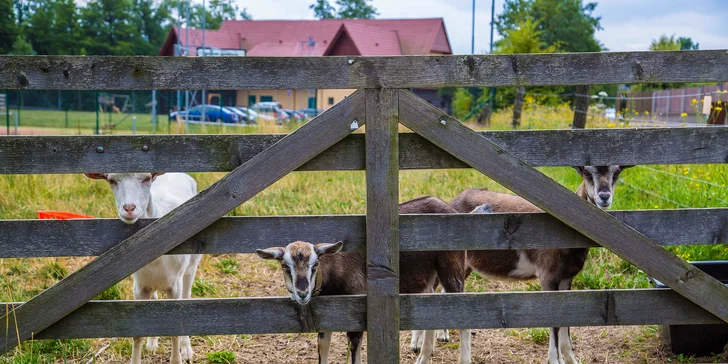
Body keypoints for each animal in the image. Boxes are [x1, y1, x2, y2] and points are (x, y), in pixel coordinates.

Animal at [85, 172, 202, 364]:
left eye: (146, 178)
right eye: (112, 181)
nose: (129, 208)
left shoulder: (174, 286)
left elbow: (175, 329)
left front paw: (177, 358)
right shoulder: (139, 287)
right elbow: (138, 330)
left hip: (190, 267)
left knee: (187, 294)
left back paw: (186, 349)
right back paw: (152, 343)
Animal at [446, 166, 628, 364]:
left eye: (617, 172)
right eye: (586, 172)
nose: (604, 196)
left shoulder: (566, 278)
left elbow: (565, 320)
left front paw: (571, 358)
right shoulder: (548, 276)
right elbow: (553, 321)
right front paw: (555, 359)